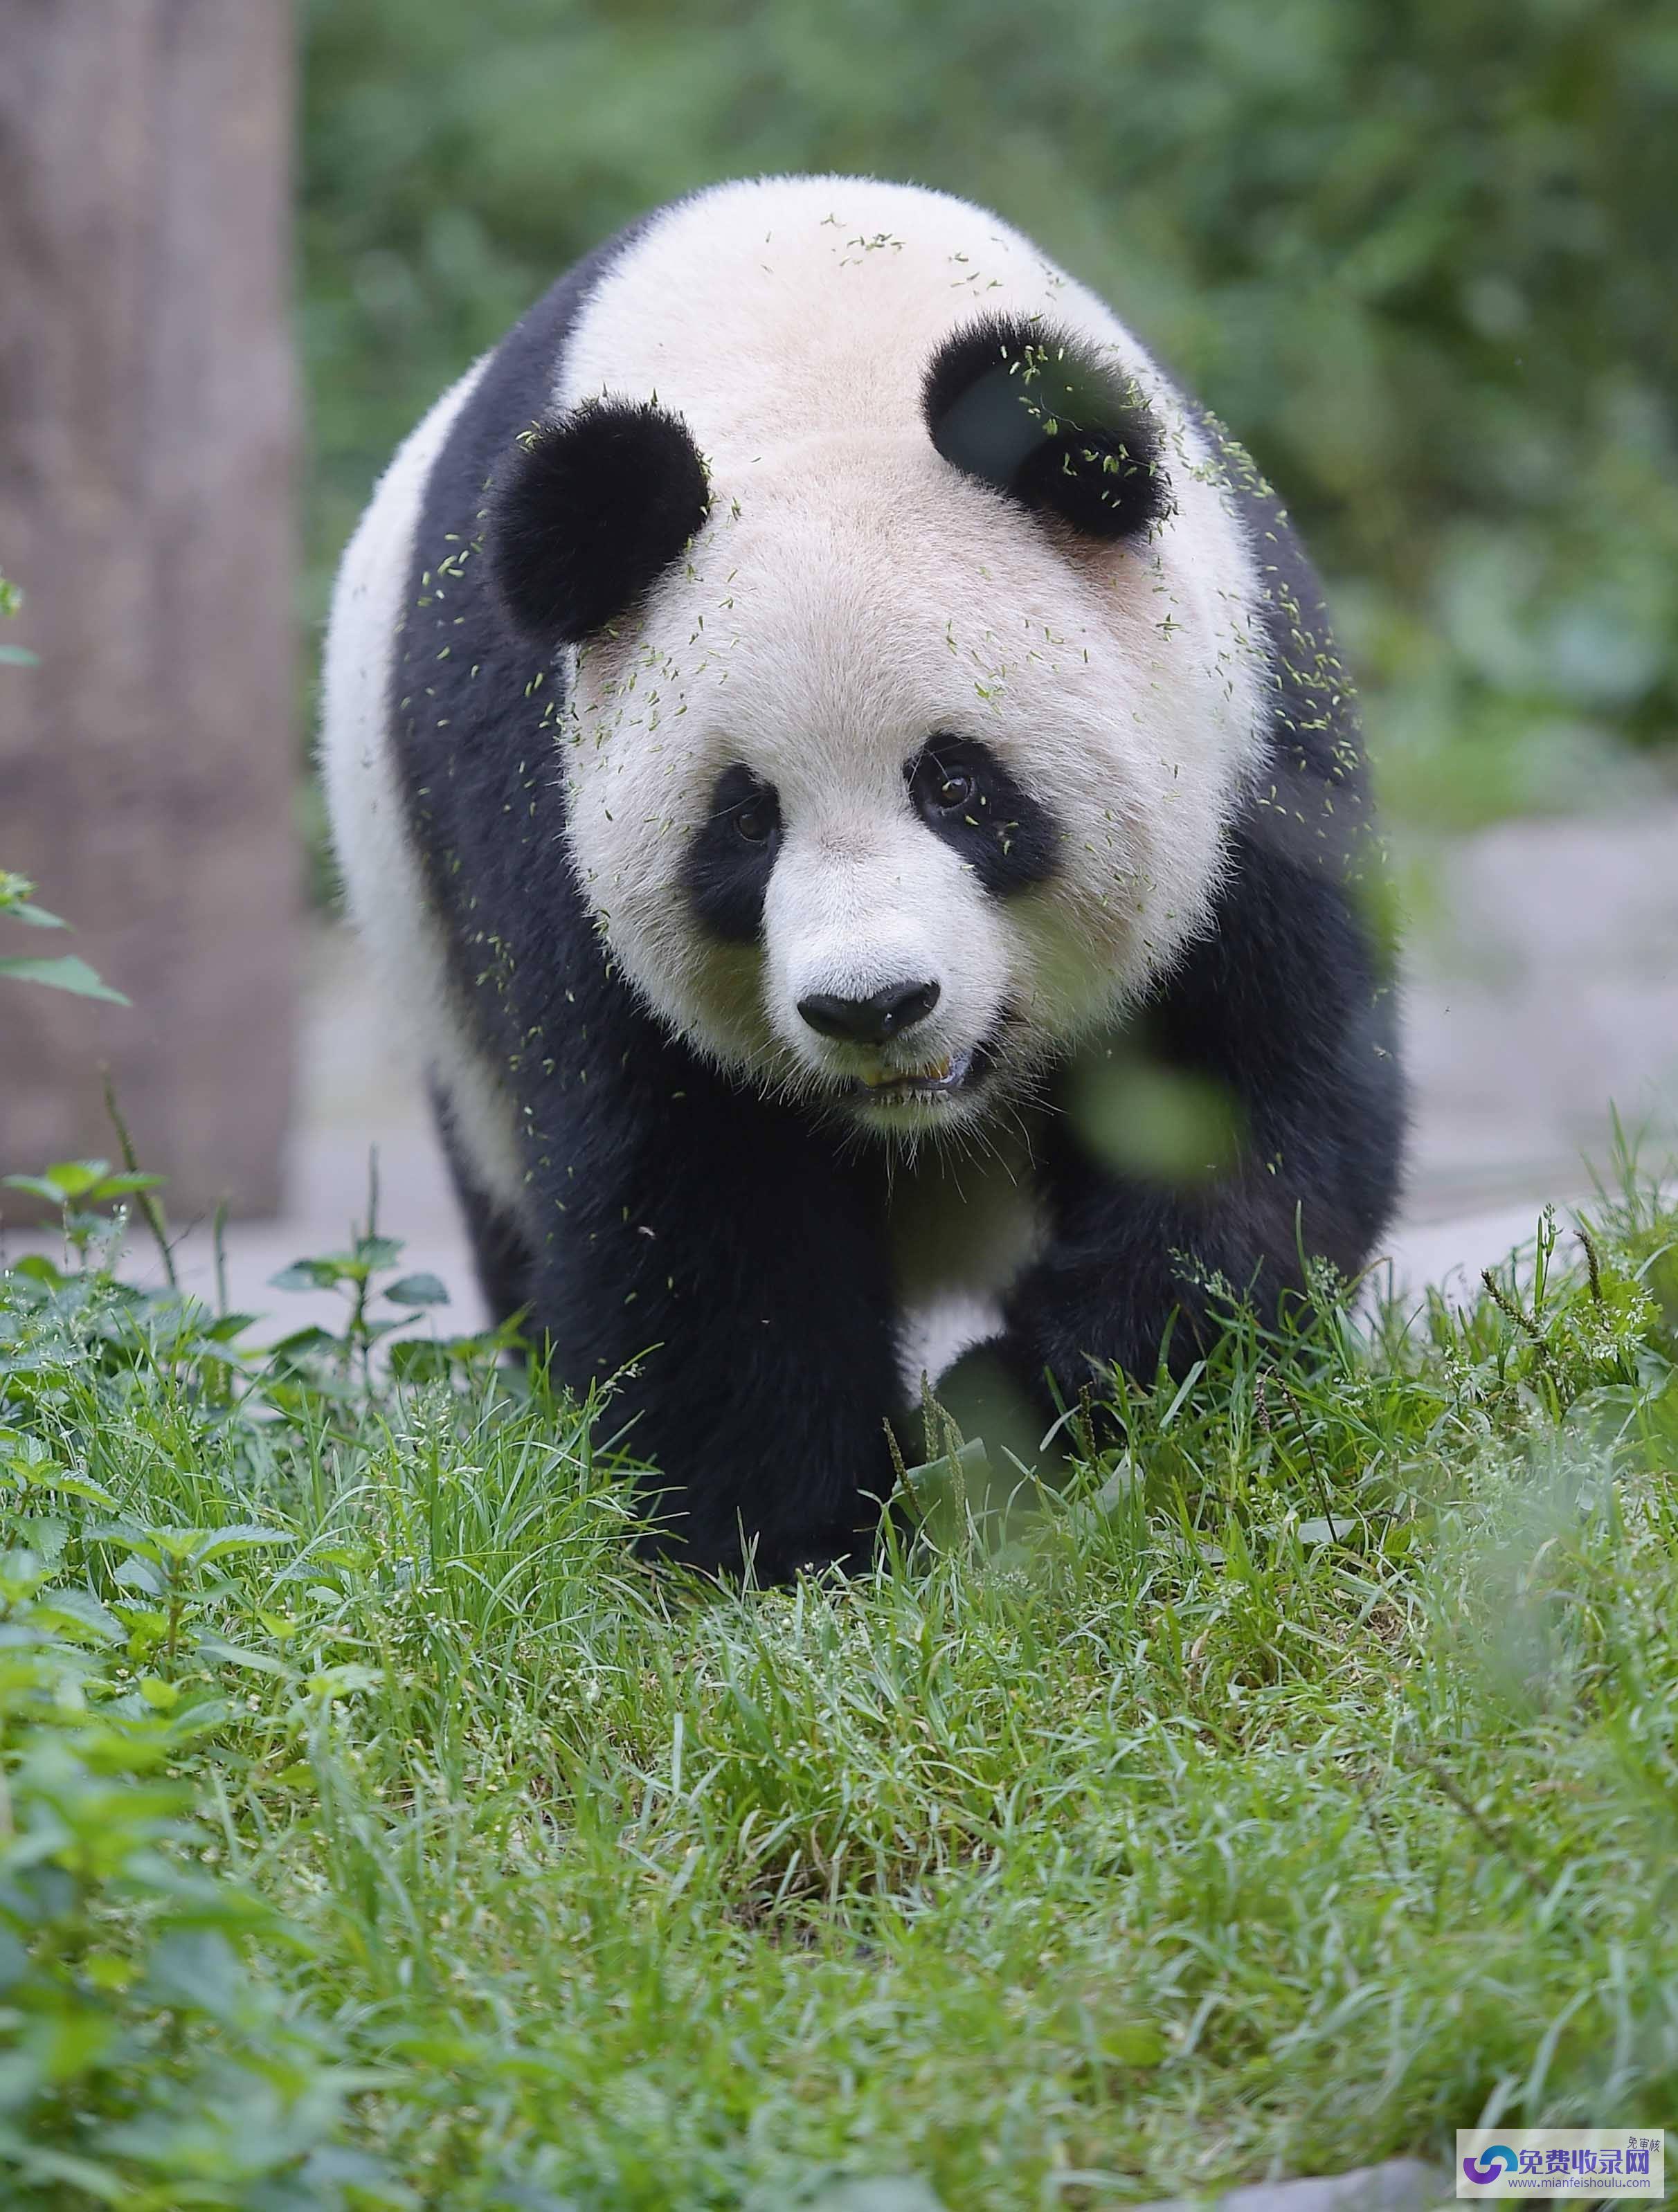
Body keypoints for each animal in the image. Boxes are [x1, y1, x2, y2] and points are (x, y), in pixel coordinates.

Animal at [325, 181, 1407, 1584]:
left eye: (956, 787)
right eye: (744, 824)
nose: (873, 1006)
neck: (808, 352)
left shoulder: (1241, 742)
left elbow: (1245, 1108)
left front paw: (1028, 1403)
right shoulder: (540, 803)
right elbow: (686, 1194)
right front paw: (792, 1544)